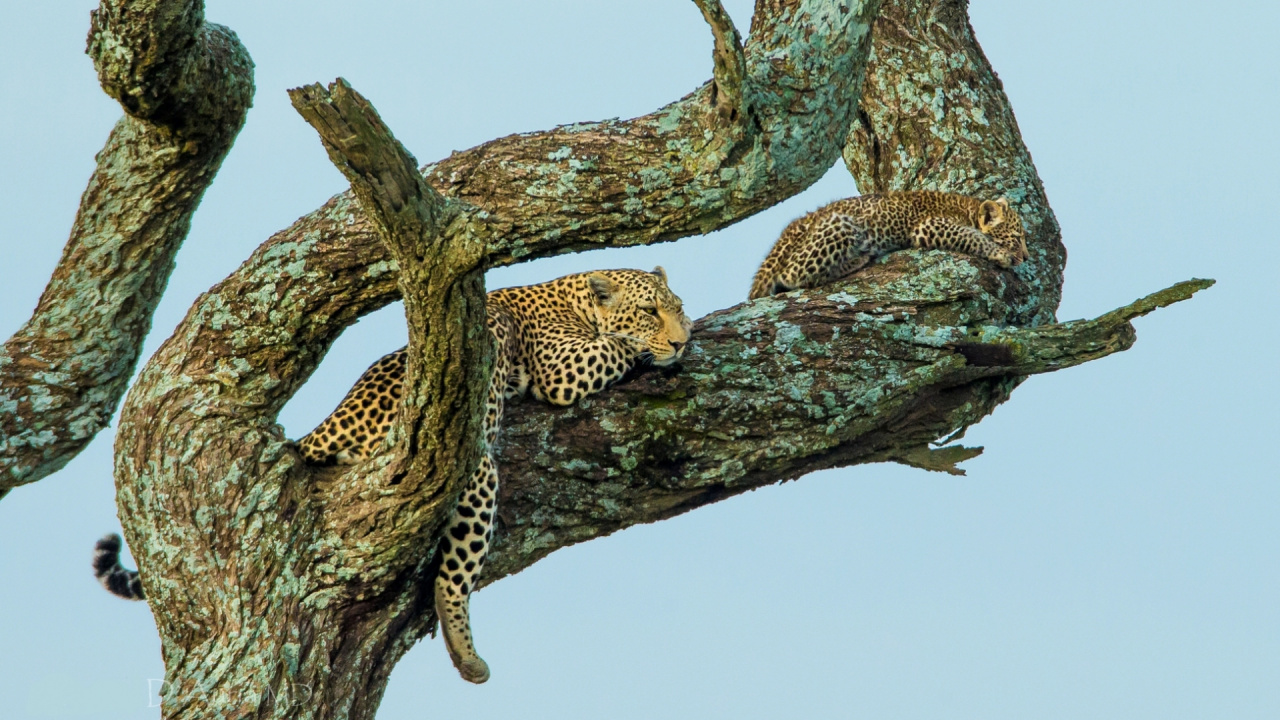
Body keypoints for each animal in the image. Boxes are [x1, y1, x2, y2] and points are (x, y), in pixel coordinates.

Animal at [748, 190, 1029, 300]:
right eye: (1017, 238)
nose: (1026, 258)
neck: (968, 209)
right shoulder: (930, 226)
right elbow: (973, 236)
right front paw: (1000, 254)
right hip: (843, 224)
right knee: (793, 276)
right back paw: (857, 259)